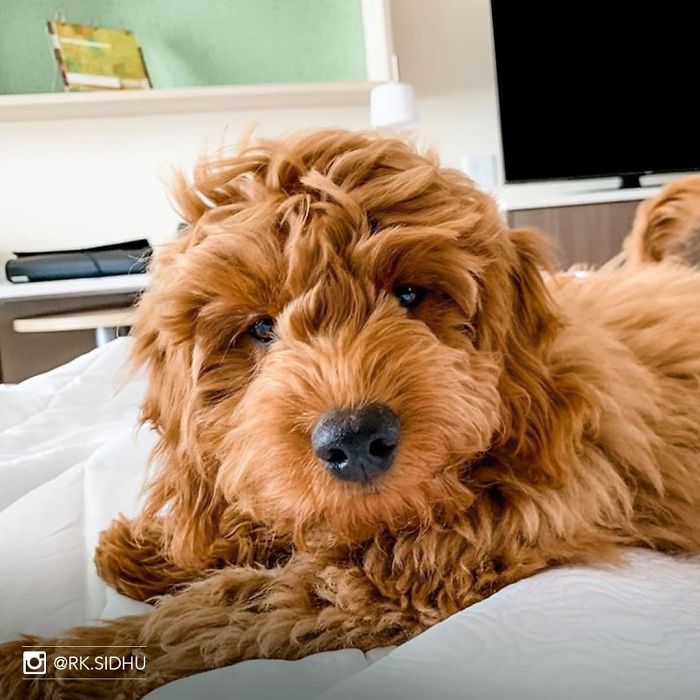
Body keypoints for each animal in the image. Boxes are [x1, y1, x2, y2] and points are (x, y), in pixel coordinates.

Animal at [2, 130, 700, 699]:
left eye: (410, 294)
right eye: (261, 328)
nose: (356, 439)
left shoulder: (415, 572)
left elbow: (214, 611)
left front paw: (50, 660)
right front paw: (153, 548)